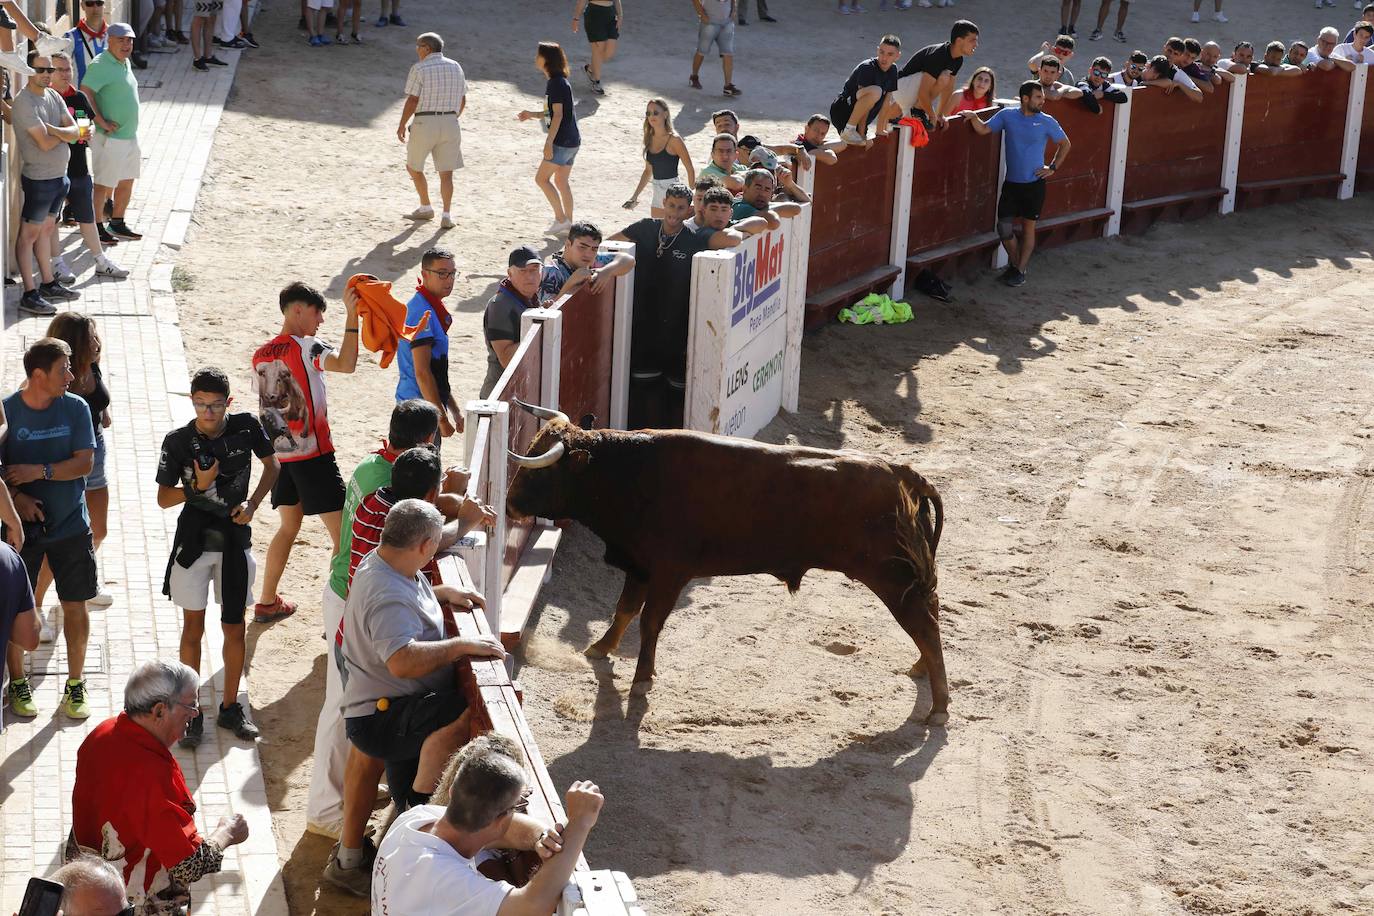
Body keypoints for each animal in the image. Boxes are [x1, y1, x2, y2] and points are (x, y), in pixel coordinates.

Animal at [511, 403, 950, 725]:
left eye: (541, 472)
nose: (511, 505)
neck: (629, 473)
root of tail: (903, 474)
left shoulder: (669, 572)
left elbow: (650, 622)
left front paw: (641, 679)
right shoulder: (638, 565)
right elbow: (624, 611)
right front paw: (600, 648)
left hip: (893, 579)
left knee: (925, 626)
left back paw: (940, 708)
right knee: (930, 618)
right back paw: (921, 671)